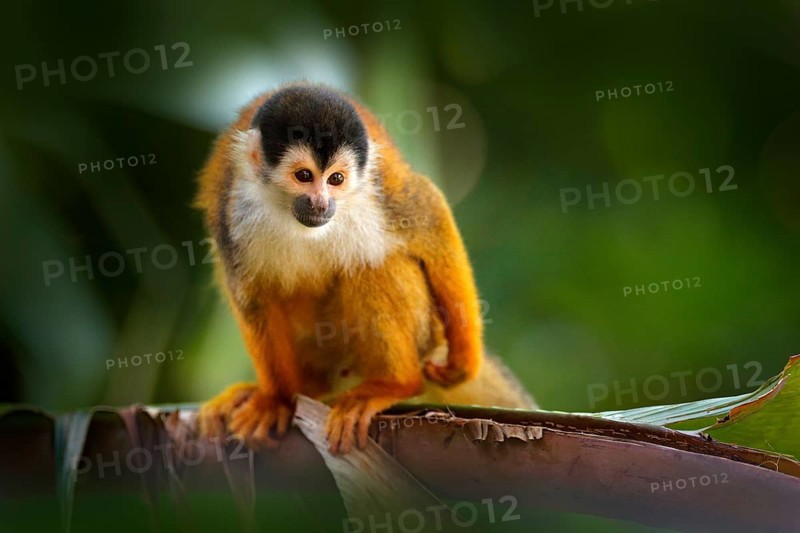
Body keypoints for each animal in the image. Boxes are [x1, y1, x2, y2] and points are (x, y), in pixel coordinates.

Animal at [195, 82, 535, 454]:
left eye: (336, 179)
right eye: (304, 176)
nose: (321, 203)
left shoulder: (377, 190)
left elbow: (429, 215)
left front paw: (463, 360)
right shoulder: (233, 213)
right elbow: (254, 297)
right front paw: (277, 400)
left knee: (373, 266)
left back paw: (396, 384)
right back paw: (300, 390)